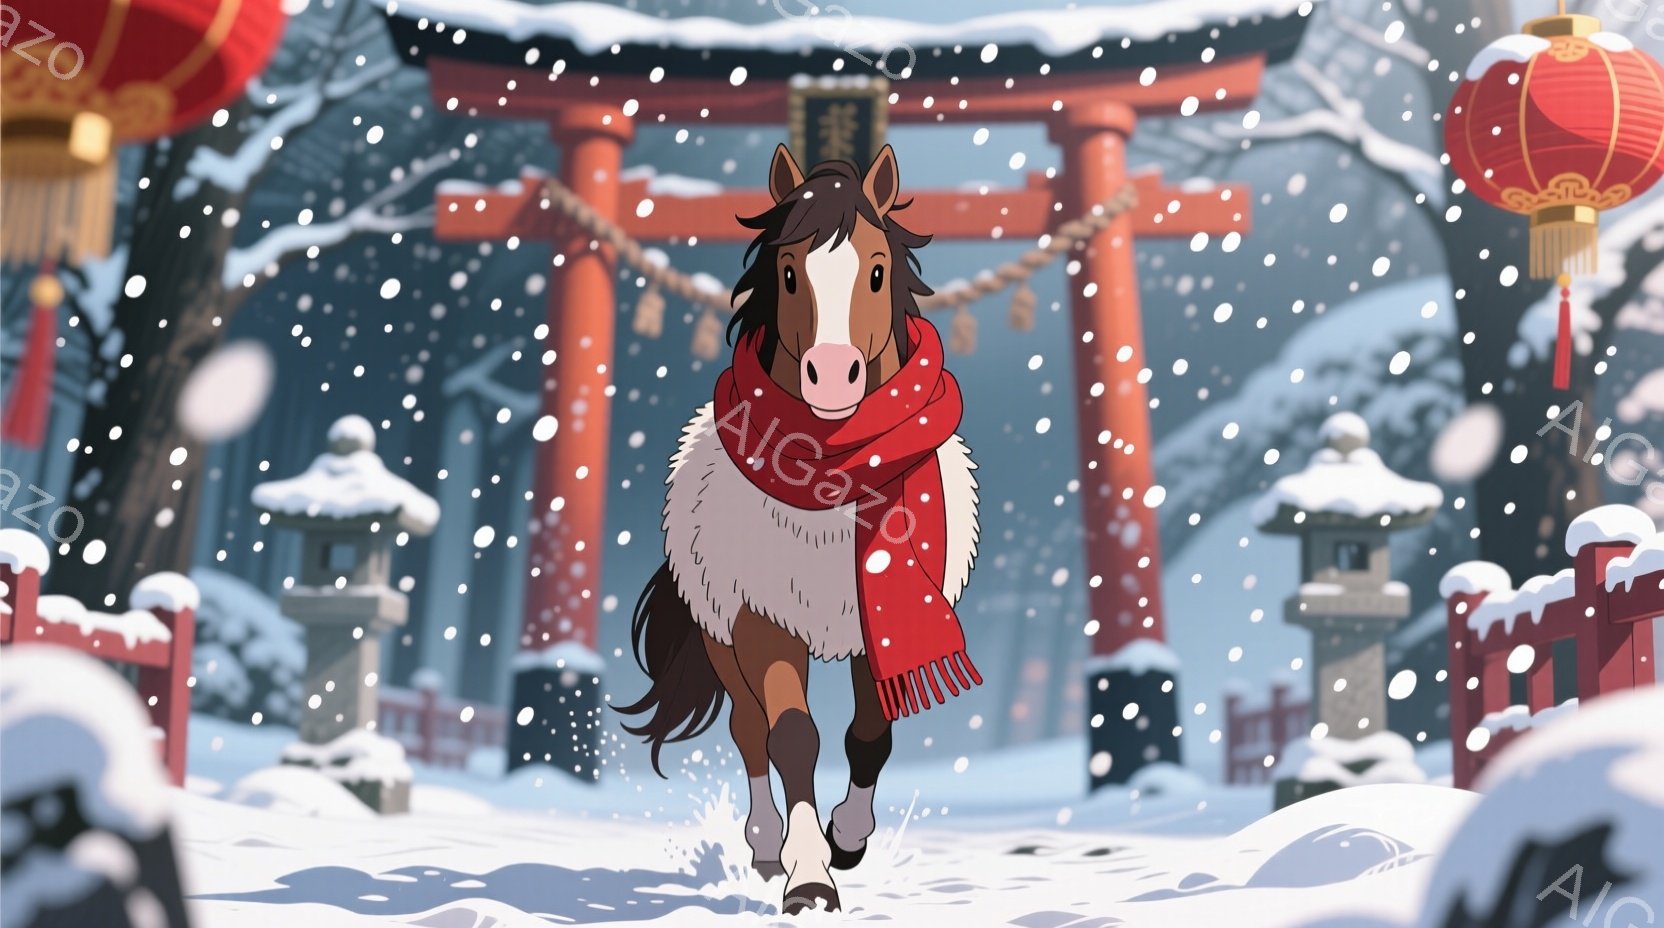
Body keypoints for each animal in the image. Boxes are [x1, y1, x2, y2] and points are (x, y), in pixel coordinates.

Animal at [618, 143, 982, 915]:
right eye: (788, 273)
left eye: (876, 271)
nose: (832, 375)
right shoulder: (764, 621)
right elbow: (792, 738)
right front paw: (808, 875)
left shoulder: (881, 622)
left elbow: (871, 731)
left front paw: (848, 838)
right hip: (721, 633)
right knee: (748, 729)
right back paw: (762, 846)